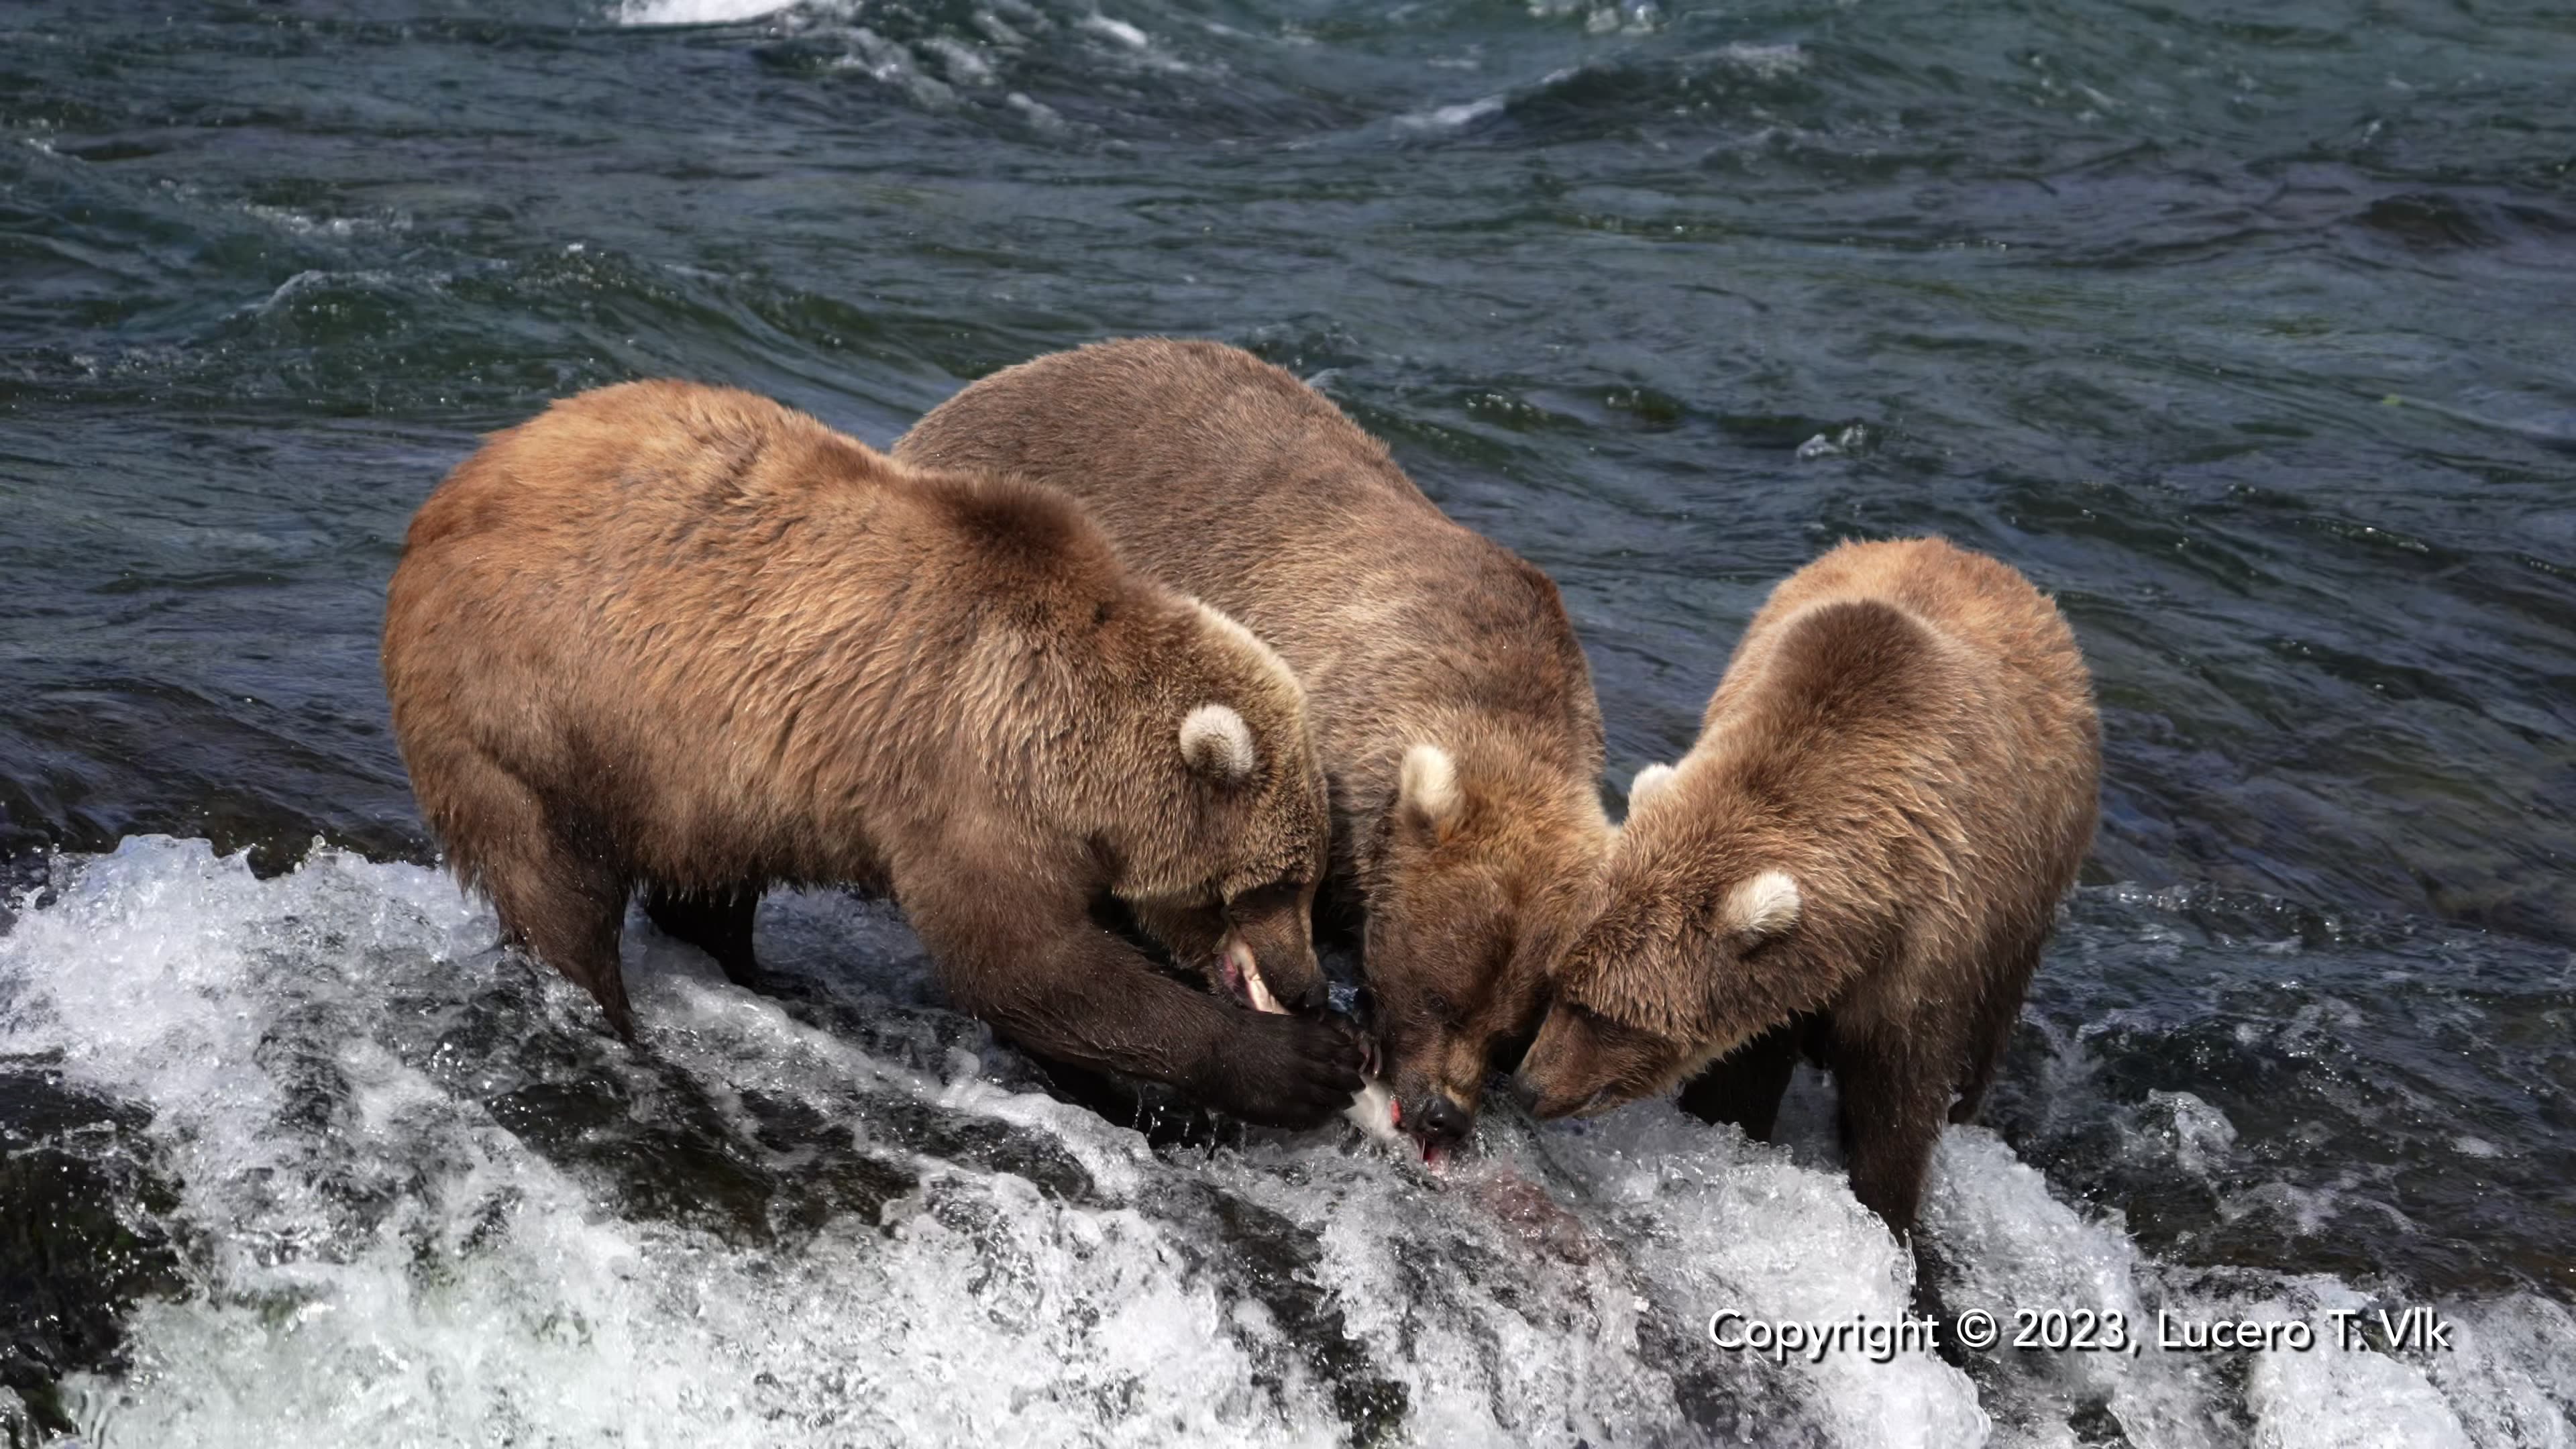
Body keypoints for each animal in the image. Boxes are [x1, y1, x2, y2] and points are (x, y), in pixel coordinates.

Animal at [381, 378, 1360, 1124]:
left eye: (1312, 881)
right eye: (1275, 885)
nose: (1312, 988)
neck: (1080, 756)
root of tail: (444, 499)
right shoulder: (969, 773)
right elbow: (1023, 965)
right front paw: (1300, 1066)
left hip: (692, 767)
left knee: (709, 876)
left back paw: (762, 973)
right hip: (531, 704)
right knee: (555, 883)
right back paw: (617, 1021)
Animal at [1514, 536, 2102, 1222]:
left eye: (1610, 1015)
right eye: (1559, 982)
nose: (1529, 1085)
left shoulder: (1929, 956)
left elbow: (1898, 1110)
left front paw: (1889, 1214)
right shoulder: (1774, 994)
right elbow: (1738, 1088)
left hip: (2030, 898)